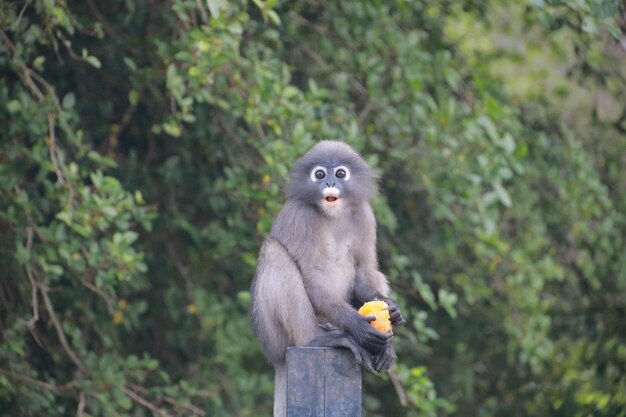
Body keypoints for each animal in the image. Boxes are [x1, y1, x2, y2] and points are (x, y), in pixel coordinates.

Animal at [249, 140, 404, 416]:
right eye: (319, 174)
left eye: (340, 173)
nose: (330, 182)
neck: (334, 214)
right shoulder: (299, 215)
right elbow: (311, 278)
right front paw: (358, 327)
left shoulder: (365, 215)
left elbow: (364, 270)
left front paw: (392, 309)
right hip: (274, 337)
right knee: (275, 252)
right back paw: (320, 338)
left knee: (373, 272)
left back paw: (386, 347)